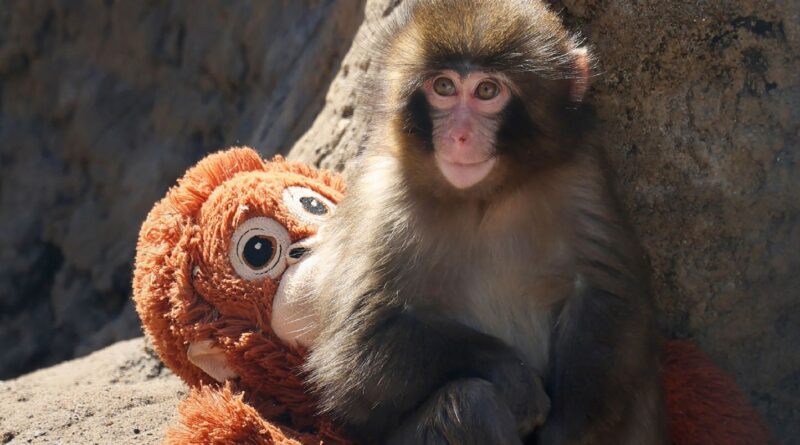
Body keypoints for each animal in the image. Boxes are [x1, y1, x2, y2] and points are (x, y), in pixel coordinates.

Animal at [302, 0, 668, 443]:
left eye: (487, 91)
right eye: (444, 87)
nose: (459, 136)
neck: (483, 197)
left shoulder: (581, 174)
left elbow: (607, 297)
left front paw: (565, 430)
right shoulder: (383, 200)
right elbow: (355, 353)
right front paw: (512, 375)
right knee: (469, 403)